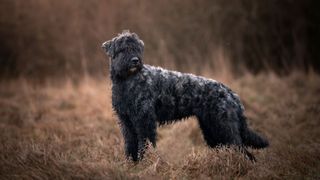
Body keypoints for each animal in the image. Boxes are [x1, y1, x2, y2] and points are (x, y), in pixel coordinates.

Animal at [102, 31, 268, 162]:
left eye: (137, 48)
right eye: (122, 49)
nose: (135, 60)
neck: (126, 82)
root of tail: (231, 93)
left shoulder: (144, 120)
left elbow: (145, 143)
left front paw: (146, 163)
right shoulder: (126, 121)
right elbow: (130, 144)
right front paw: (132, 163)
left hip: (224, 127)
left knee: (242, 150)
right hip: (212, 128)